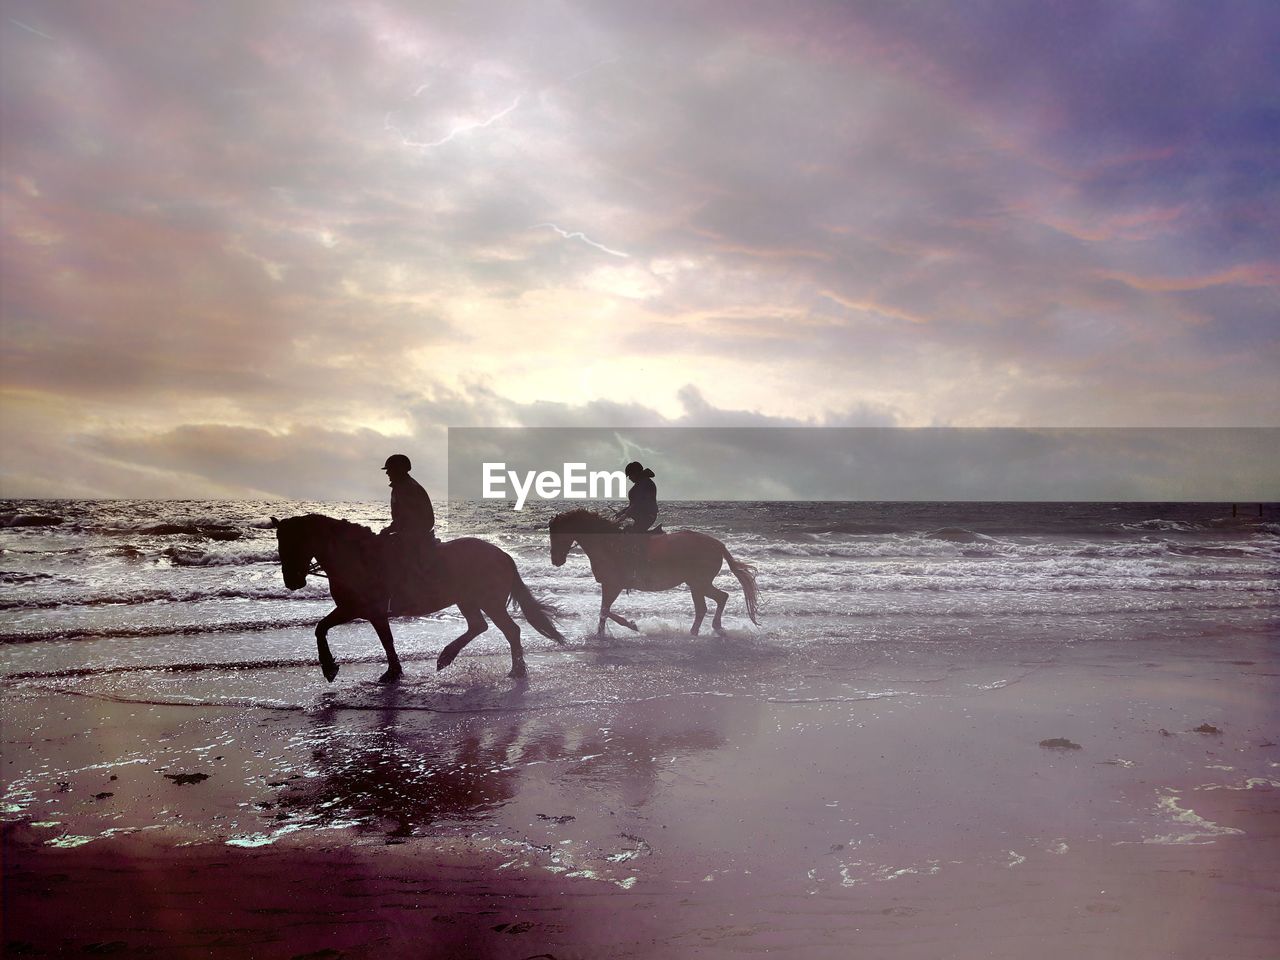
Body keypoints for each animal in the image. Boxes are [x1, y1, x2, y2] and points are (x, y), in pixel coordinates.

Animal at [272, 519, 563, 686]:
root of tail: (504, 555)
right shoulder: (364, 611)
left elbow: (327, 629)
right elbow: (330, 629)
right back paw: (446, 657)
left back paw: (517, 671)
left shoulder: (361, 609)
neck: (355, 557)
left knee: (510, 630)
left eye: (294, 542)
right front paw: (390, 672)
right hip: (467, 599)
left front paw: (332, 668)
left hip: (488, 601)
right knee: (479, 626)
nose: (291, 581)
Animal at [547, 512, 757, 640]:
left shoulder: (613, 585)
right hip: (696, 584)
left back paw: (710, 629)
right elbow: (603, 612)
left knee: (718, 599)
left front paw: (631, 625)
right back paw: (700, 631)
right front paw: (602, 635)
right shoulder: (609, 585)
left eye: (557, 534)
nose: (555, 560)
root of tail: (718, 544)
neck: (607, 544)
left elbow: (605, 611)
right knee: (709, 604)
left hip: (699, 583)